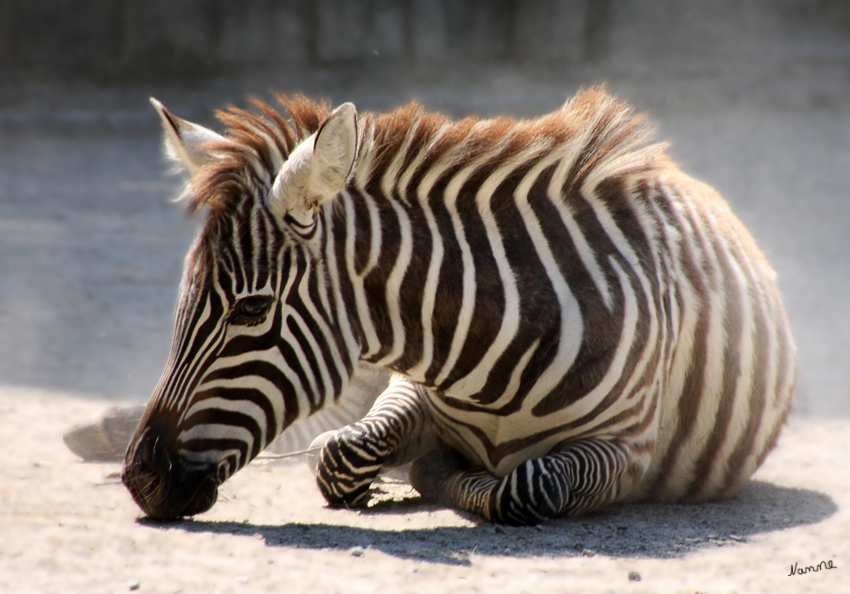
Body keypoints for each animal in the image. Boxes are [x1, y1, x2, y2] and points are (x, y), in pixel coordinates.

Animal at [121, 86, 796, 524]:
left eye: (251, 310)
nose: (138, 478)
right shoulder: (412, 389)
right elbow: (340, 453)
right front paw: (408, 471)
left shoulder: (626, 449)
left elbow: (525, 487)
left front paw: (438, 476)